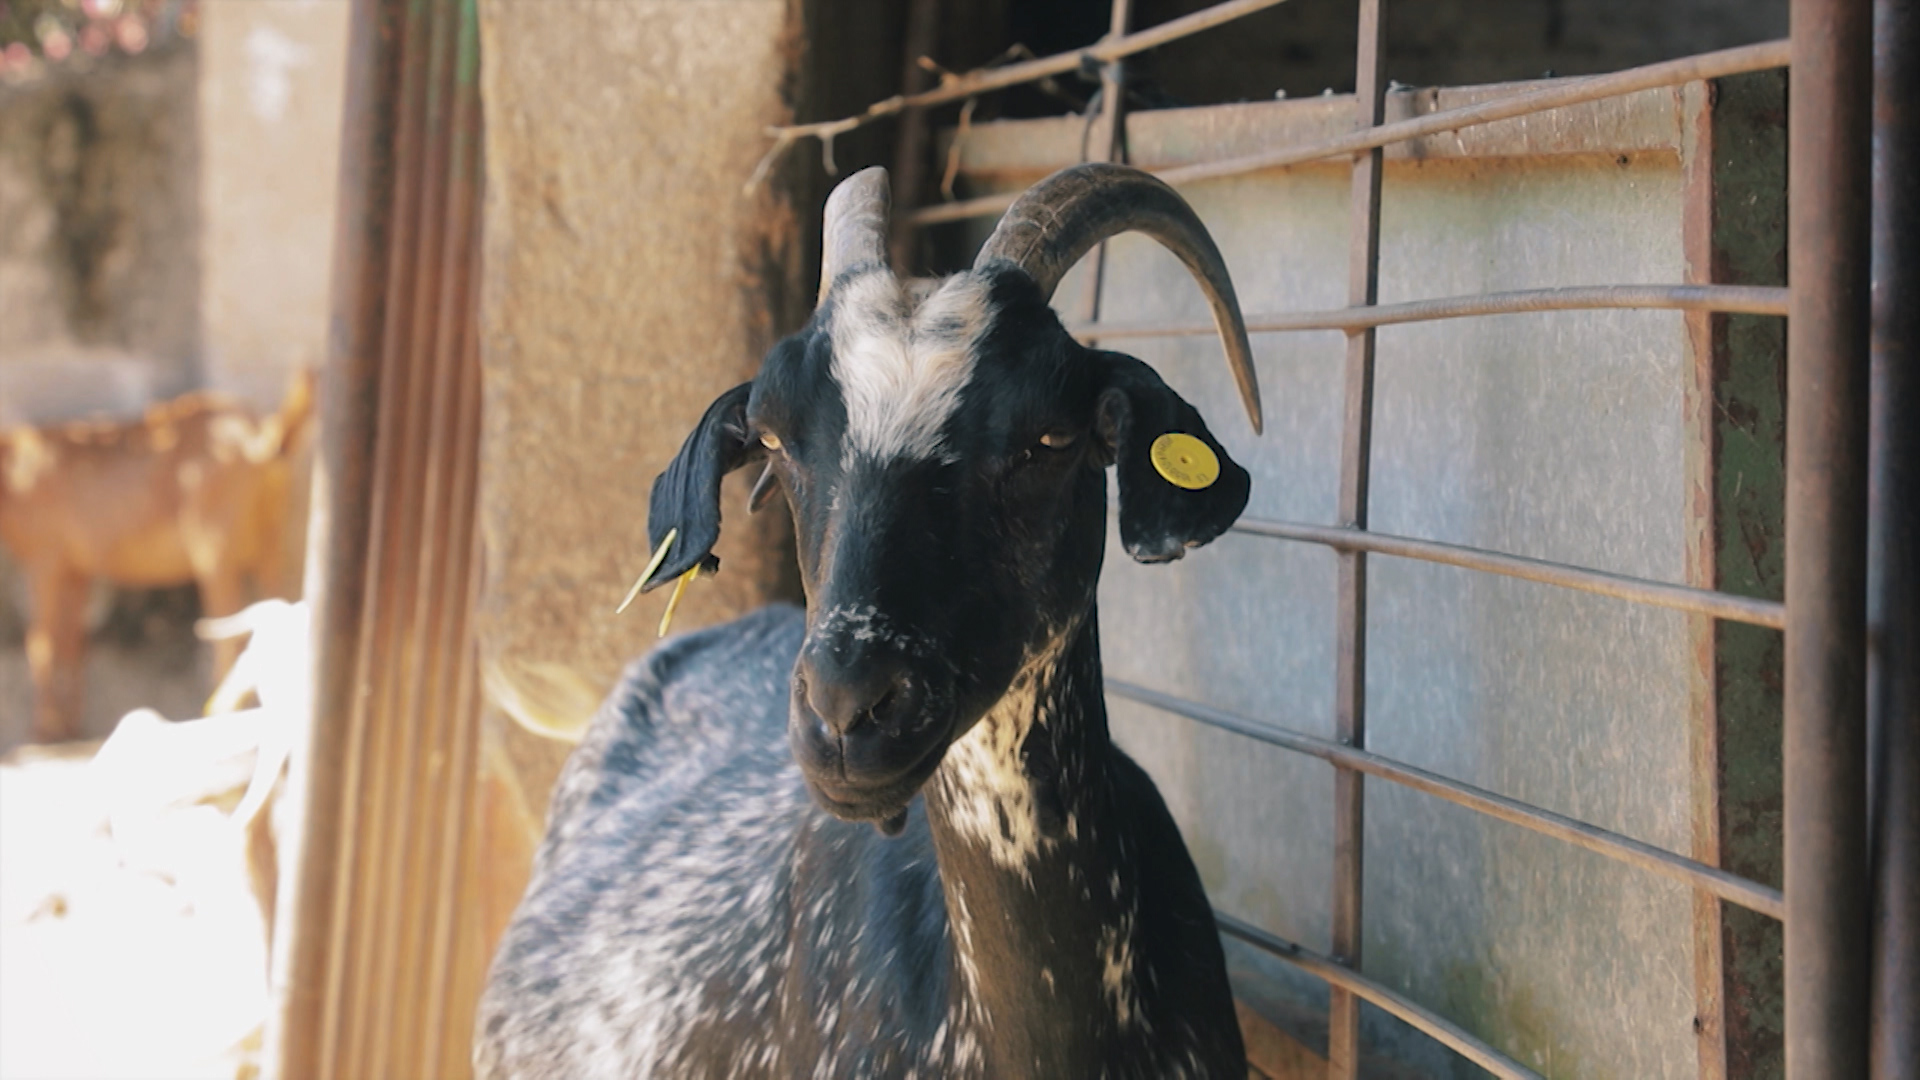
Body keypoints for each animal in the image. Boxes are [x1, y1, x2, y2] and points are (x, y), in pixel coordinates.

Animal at [0, 371, 315, 743]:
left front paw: (43, 731)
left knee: (229, 630)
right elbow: (73, 642)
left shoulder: (46, 561)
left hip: (214, 546)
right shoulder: (77, 570)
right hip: (271, 543)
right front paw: (70, 727)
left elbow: (43, 644)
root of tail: (260, 438)